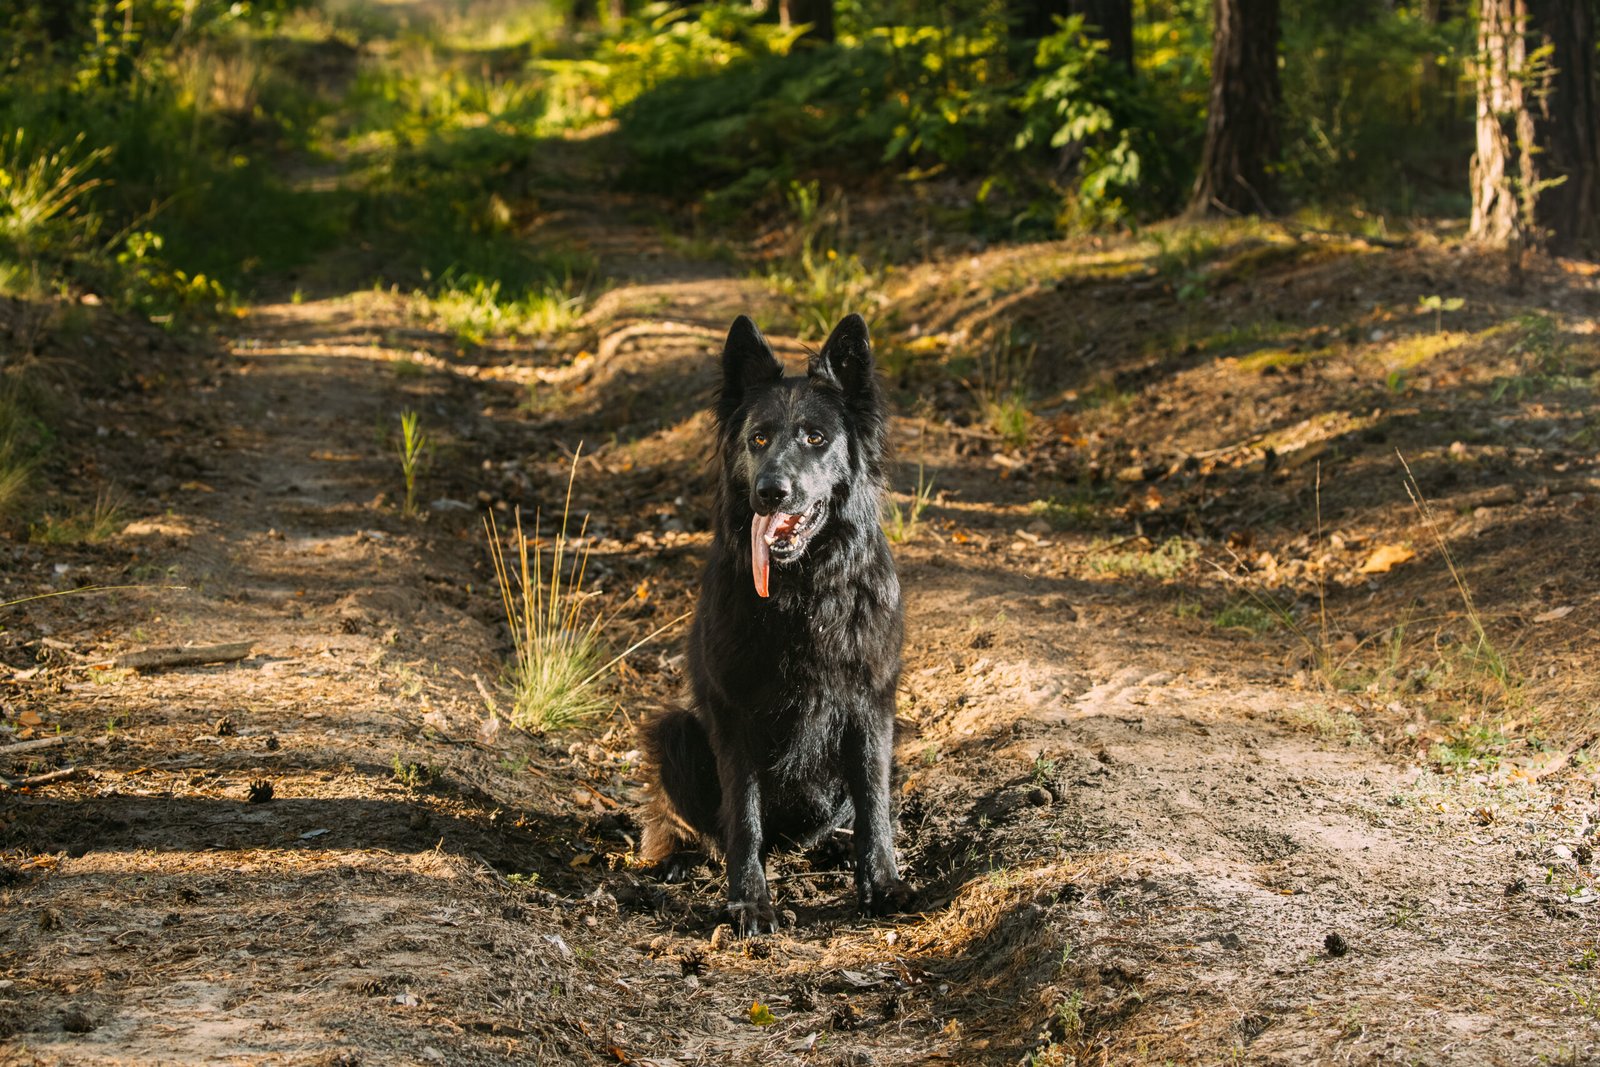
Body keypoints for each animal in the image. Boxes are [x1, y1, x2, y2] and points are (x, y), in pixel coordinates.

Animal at [640, 313, 915, 927]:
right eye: (758, 438)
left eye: (815, 437)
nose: (771, 492)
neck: (801, 590)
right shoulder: (734, 714)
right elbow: (743, 814)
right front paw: (748, 899)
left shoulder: (871, 707)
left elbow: (875, 801)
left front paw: (882, 882)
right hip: (675, 730)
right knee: (704, 825)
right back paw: (679, 857)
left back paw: (836, 843)